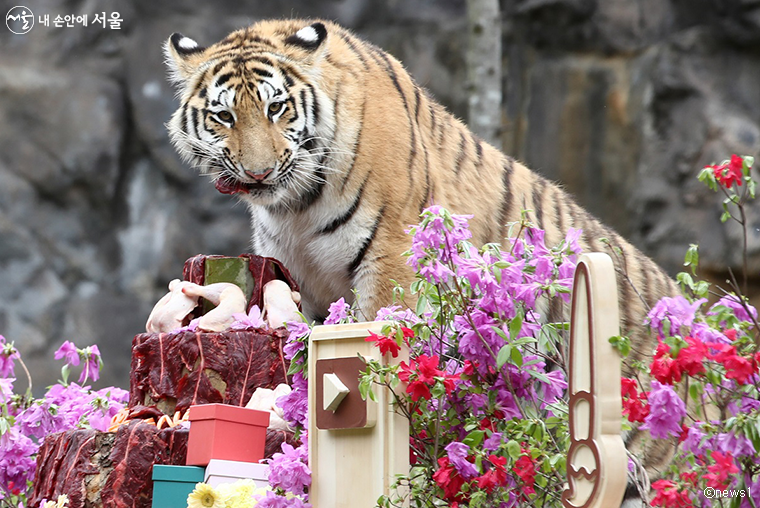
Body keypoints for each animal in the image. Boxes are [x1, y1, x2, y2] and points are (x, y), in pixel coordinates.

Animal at [166, 16, 684, 500]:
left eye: (276, 107)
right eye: (224, 116)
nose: (259, 172)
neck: (295, 206)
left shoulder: (391, 255)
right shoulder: (301, 283)